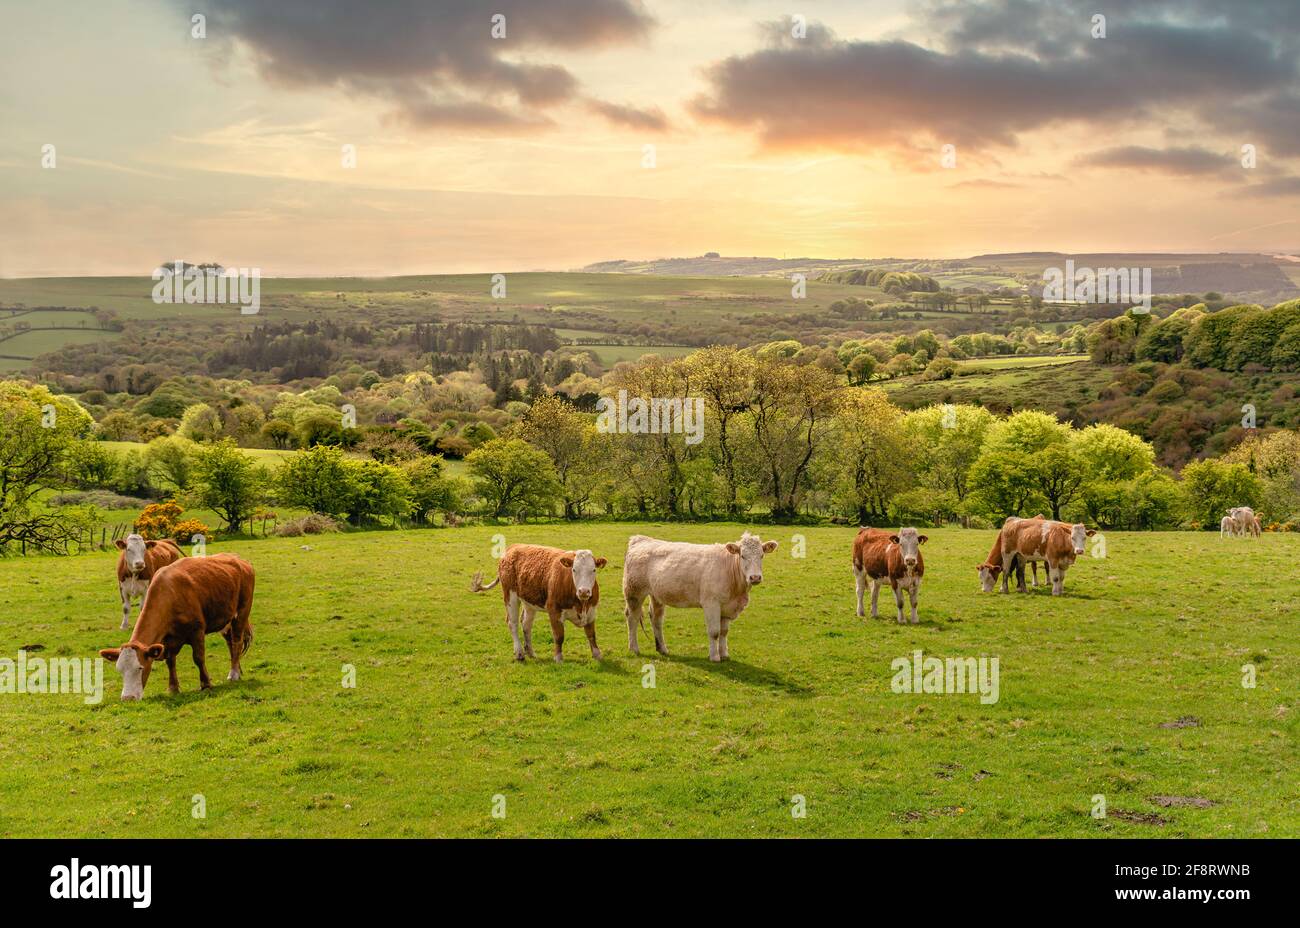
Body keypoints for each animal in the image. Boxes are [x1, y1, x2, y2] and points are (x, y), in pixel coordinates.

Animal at [96, 553, 253, 696]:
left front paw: (205, 684)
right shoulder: (167, 640)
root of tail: (240, 560)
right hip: (226, 621)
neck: (169, 596)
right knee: (230, 643)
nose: (128, 698)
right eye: (120, 670)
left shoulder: (197, 631)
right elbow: (170, 661)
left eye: (140, 668)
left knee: (237, 641)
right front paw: (173, 687)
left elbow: (198, 658)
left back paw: (234, 673)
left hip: (242, 612)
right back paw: (237, 670)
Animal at [470, 538, 605, 660]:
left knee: (526, 624)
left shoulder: (591, 611)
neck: (580, 604)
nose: (584, 591)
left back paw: (530, 652)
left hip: (529, 602)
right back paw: (519, 653)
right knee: (512, 623)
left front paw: (597, 655)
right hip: (510, 595)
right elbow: (559, 636)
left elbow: (591, 634)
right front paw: (558, 658)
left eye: (593, 570)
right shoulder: (554, 610)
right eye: (574, 570)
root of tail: (513, 547)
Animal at [624, 527, 774, 657]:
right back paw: (634, 648)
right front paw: (715, 657)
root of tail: (641, 539)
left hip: (656, 595)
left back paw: (662, 649)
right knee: (633, 617)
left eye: (762, 555)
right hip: (634, 592)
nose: (755, 577)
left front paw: (724, 654)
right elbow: (714, 632)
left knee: (656, 619)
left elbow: (724, 632)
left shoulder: (728, 607)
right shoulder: (711, 603)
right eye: (742, 556)